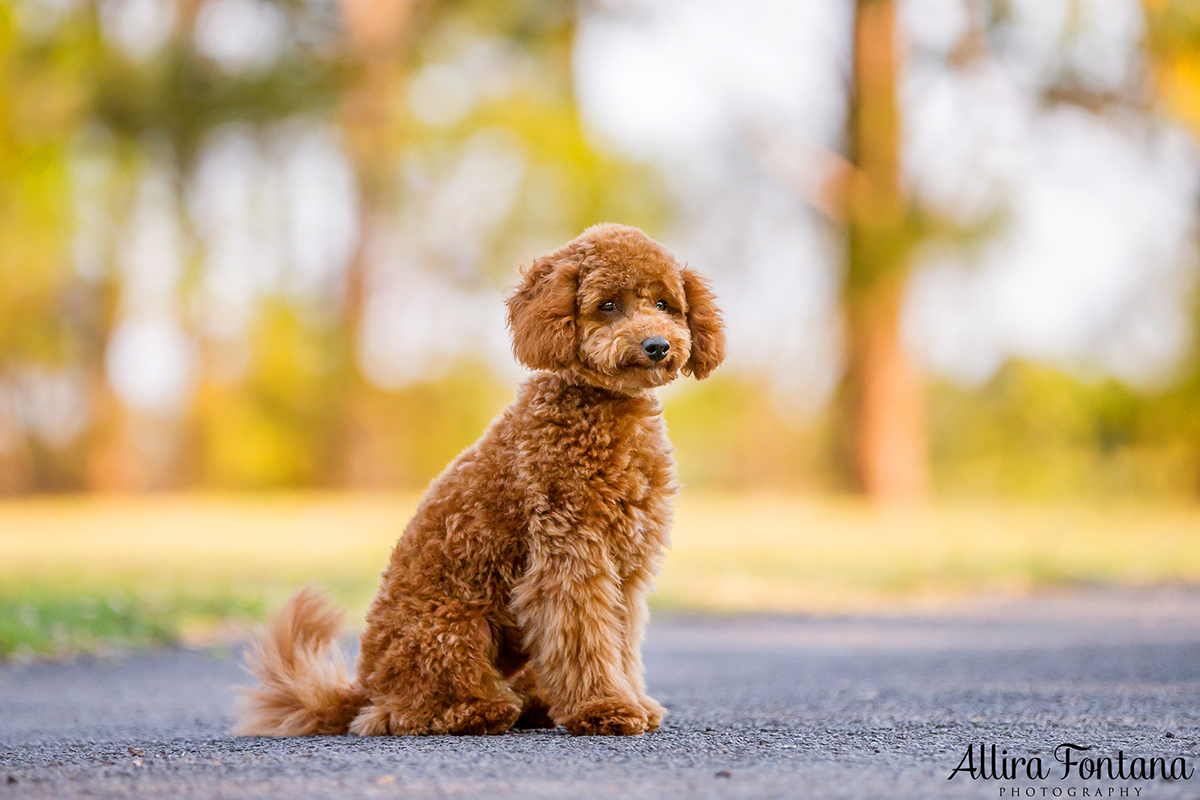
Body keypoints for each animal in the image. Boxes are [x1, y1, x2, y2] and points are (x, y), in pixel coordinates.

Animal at [232, 224, 720, 738]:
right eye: (608, 305)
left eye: (664, 304)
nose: (657, 345)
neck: (603, 407)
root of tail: (363, 686)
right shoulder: (569, 558)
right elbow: (585, 639)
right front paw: (603, 707)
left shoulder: (626, 569)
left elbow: (621, 643)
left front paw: (634, 701)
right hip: (451, 630)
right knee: (403, 713)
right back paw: (482, 709)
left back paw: (536, 704)